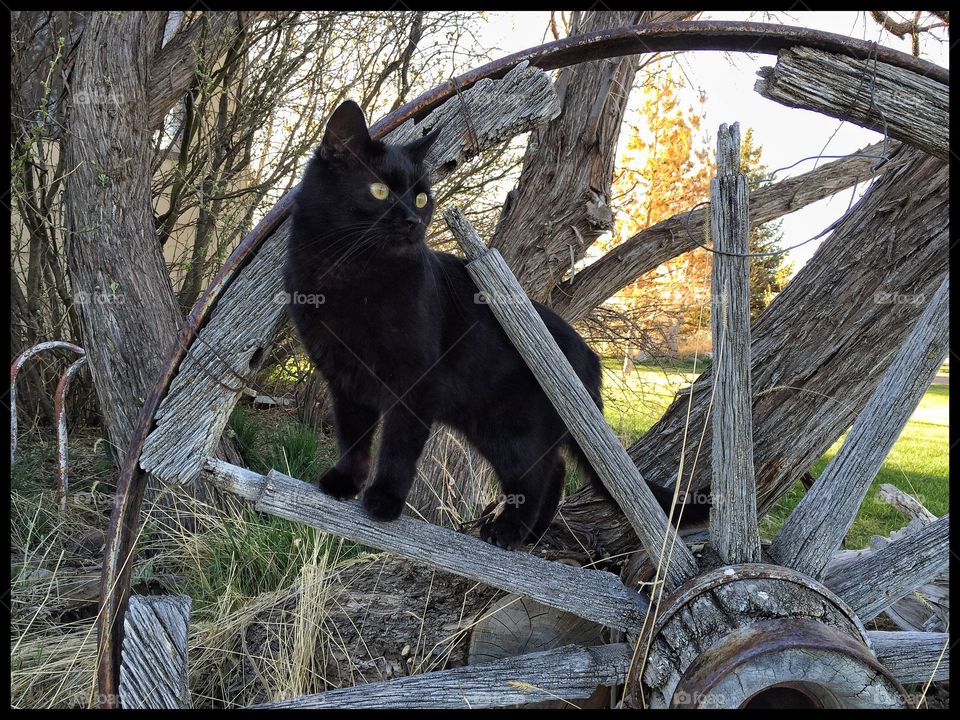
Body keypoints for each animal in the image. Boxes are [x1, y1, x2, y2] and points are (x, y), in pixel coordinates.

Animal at [284, 101, 684, 548]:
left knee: (537, 475)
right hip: (489, 426)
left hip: (512, 428)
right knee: (553, 472)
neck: (354, 274)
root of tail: (591, 359)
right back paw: (529, 535)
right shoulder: (345, 380)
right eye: (380, 191)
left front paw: (384, 500)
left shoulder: (415, 383)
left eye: (421, 197)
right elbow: (353, 438)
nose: (413, 220)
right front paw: (344, 483)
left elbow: (398, 447)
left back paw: (507, 532)